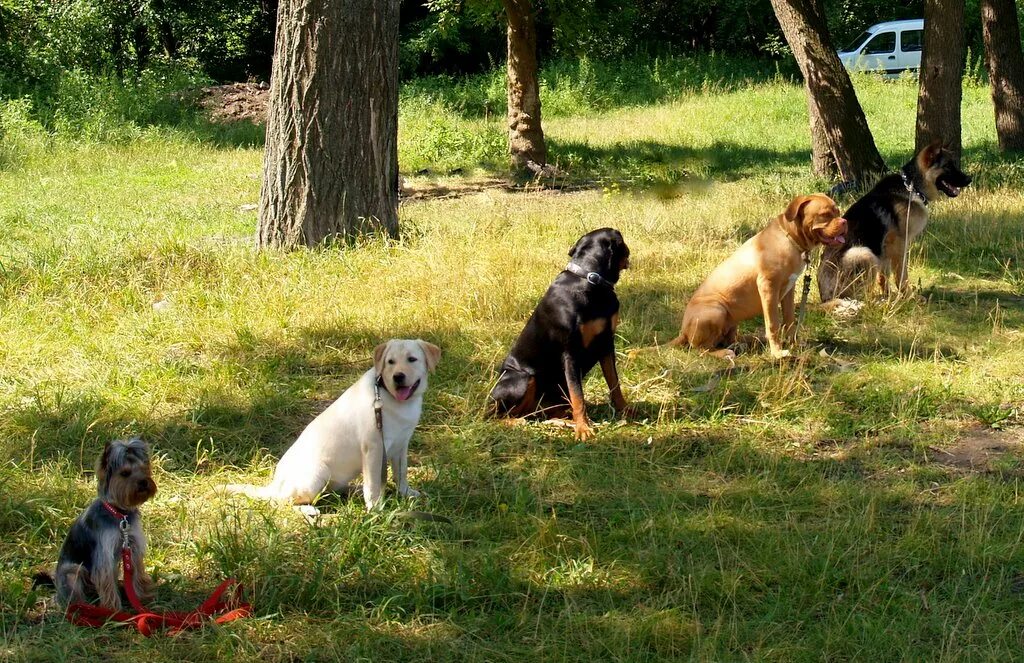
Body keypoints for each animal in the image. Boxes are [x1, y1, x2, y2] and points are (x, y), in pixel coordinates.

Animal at [667, 194, 843, 360]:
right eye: (825, 214)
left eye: (838, 212)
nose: (844, 222)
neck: (791, 237)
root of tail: (683, 332)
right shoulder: (768, 287)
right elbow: (773, 324)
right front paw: (777, 353)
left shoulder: (789, 289)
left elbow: (790, 319)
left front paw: (794, 343)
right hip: (716, 310)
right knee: (701, 349)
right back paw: (725, 353)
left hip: (732, 319)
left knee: (728, 339)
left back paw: (746, 341)